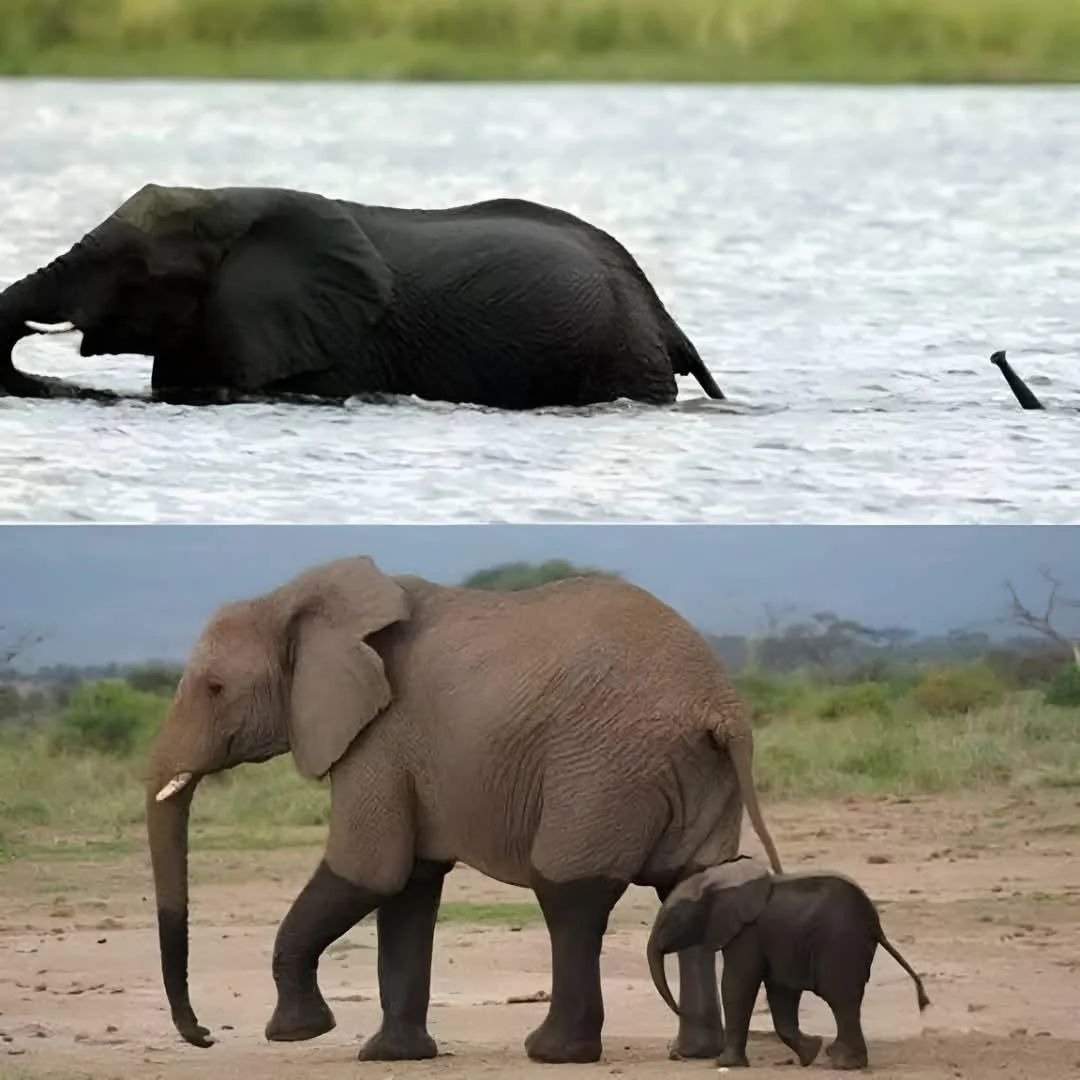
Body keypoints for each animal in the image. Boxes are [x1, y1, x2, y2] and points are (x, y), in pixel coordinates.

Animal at [144, 556, 782, 1065]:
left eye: (215, 688)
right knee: (690, 883)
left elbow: (369, 871)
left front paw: (297, 1034)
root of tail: (718, 705)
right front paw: (391, 1056)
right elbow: (410, 886)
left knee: (569, 893)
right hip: (691, 770)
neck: (294, 602)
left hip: (603, 768)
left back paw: (553, 1052)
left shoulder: (379, 738)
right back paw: (693, 1052)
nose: (203, 1035)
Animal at [647, 857, 929, 1070]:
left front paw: (724, 1064)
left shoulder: (747, 933)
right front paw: (810, 1052)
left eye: (671, 920)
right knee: (845, 1000)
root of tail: (875, 923)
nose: (681, 1012)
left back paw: (844, 1063)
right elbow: (780, 992)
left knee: (841, 998)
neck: (718, 879)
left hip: (840, 942)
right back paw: (836, 1057)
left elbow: (737, 984)